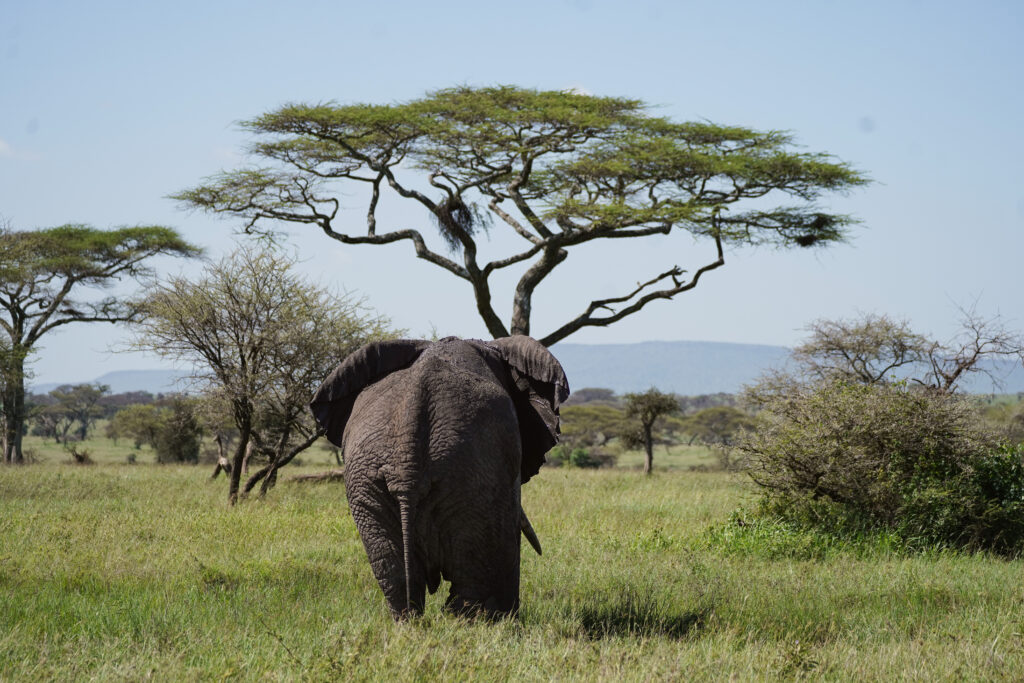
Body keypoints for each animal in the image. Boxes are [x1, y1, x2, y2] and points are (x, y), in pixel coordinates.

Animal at [309, 335, 569, 620]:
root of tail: (408, 459)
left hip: (367, 479)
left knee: (394, 571)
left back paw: (410, 622)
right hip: (470, 476)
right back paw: (485, 621)